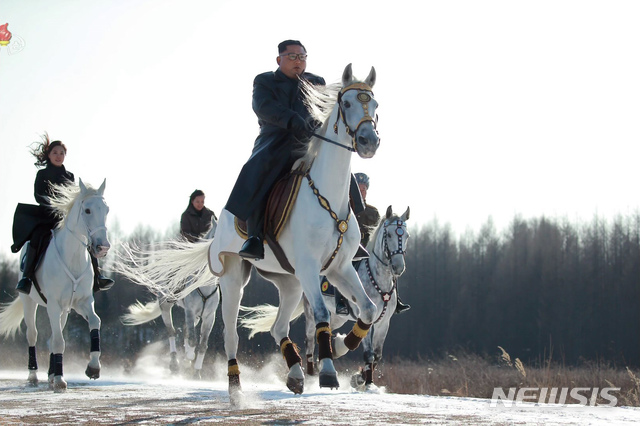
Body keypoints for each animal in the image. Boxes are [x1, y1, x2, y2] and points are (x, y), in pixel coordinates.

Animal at [0, 180, 109, 392]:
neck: (73, 256)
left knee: (51, 337)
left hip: (65, 311)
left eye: (106, 210)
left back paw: (50, 375)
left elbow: (95, 322)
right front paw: (60, 380)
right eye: (87, 210)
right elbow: (59, 342)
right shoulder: (53, 305)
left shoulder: (82, 302)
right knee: (33, 335)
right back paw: (34, 376)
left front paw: (93, 368)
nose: (103, 247)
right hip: (29, 302)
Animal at [120, 218, 220, 378]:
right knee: (172, 332)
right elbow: (193, 340)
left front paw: (196, 372)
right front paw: (189, 357)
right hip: (166, 307)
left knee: (185, 331)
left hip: (196, 316)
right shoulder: (190, 311)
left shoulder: (209, 316)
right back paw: (175, 364)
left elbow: (203, 345)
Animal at [240, 205, 410, 392]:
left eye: (406, 236)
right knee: (309, 340)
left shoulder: (383, 323)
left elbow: (377, 355)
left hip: (337, 317)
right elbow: (369, 354)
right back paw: (311, 374)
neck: (379, 280)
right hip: (311, 311)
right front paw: (362, 381)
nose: (398, 267)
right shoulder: (366, 318)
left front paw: (364, 380)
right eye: (389, 235)